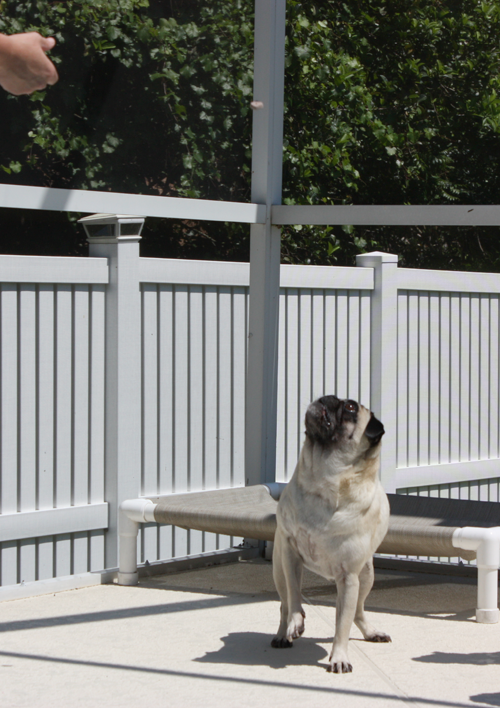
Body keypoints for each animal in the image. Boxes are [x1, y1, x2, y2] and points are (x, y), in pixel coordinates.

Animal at [272, 396, 388, 672]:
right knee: (283, 603)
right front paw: (296, 622)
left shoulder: (348, 577)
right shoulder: (291, 556)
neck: (324, 481)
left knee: (357, 612)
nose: (328, 398)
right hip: (278, 568)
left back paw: (370, 632)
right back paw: (282, 634)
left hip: (366, 575)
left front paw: (339, 657)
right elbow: (294, 597)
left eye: (350, 408)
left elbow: (342, 624)